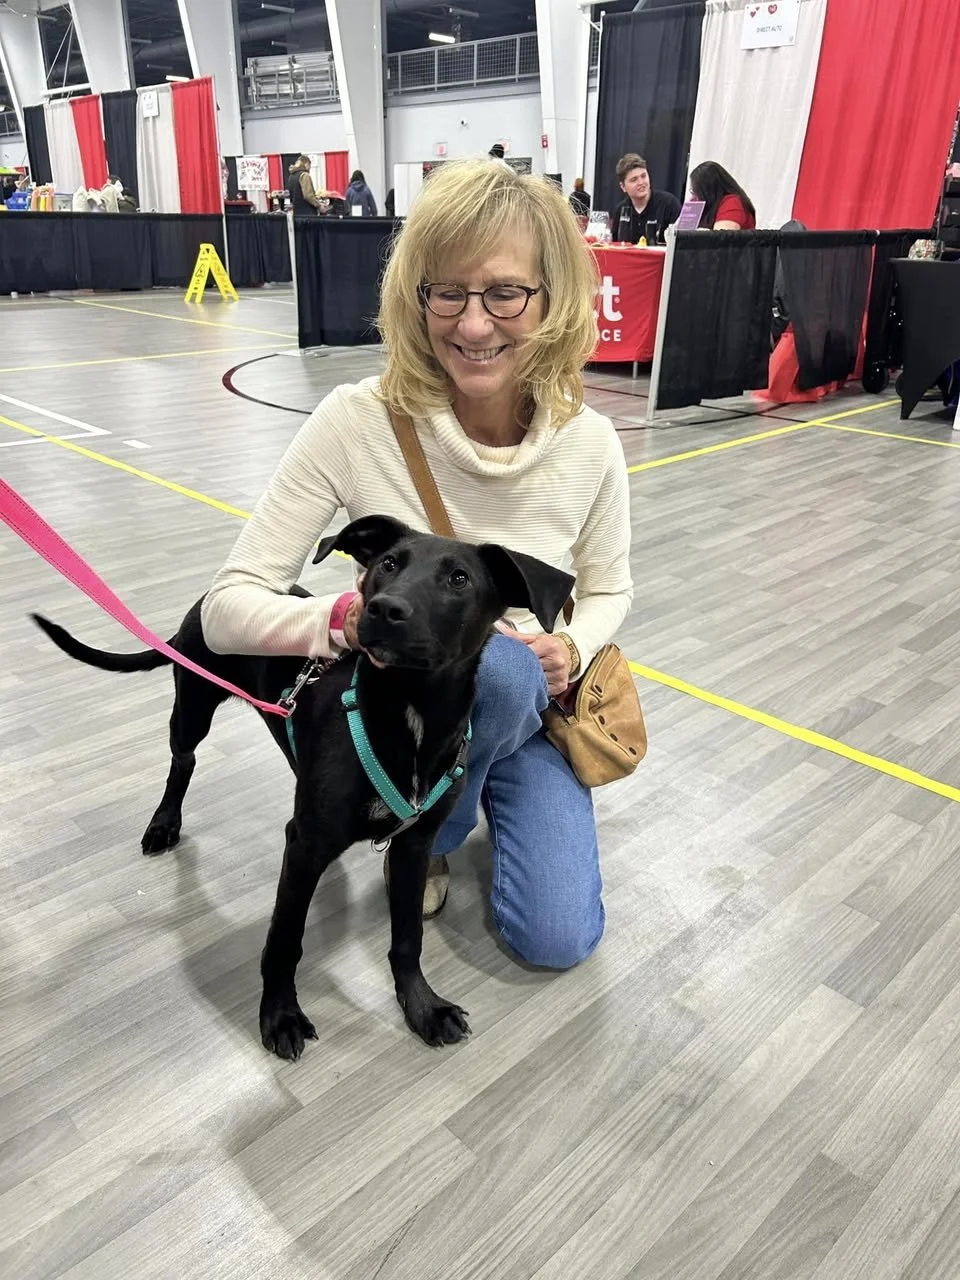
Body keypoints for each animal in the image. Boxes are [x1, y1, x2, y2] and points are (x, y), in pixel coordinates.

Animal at [32, 515, 574, 1057]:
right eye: (387, 564)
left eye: (459, 579)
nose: (383, 609)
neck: (410, 710)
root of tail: (208, 595)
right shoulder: (307, 845)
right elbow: (285, 939)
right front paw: (280, 1014)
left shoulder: (414, 846)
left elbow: (407, 938)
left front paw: (422, 1007)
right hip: (193, 705)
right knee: (182, 762)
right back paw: (164, 823)